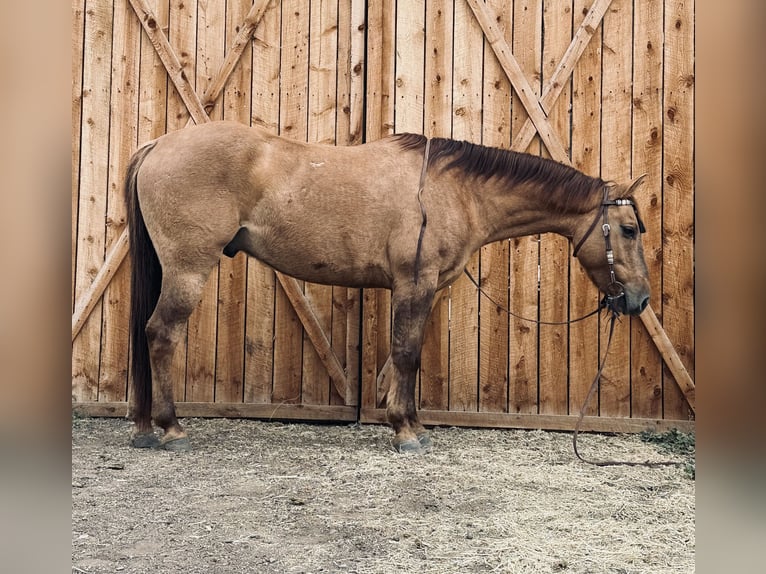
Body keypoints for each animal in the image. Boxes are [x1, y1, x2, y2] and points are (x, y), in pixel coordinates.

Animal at [125, 120, 650, 453]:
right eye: (628, 229)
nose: (640, 299)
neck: (454, 190)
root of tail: (158, 145)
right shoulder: (414, 284)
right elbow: (406, 354)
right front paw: (406, 432)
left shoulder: (421, 289)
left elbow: (406, 355)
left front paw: (413, 423)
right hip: (188, 269)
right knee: (161, 334)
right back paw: (170, 429)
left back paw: (147, 429)